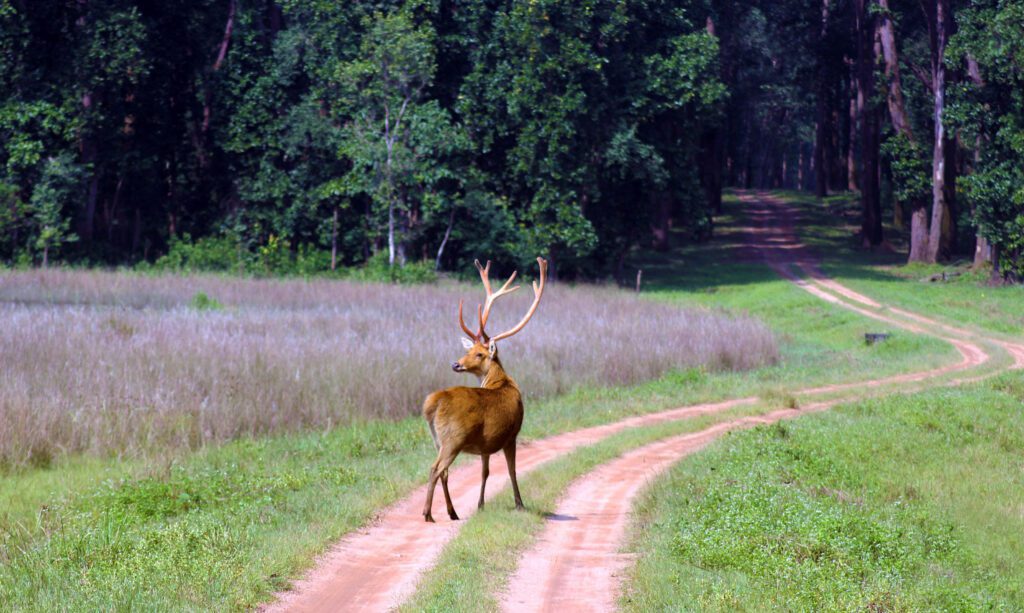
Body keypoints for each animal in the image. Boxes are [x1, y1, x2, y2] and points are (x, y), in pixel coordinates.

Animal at [419, 256, 548, 519]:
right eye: (470, 351)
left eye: (478, 353)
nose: (455, 363)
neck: (502, 381)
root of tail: (433, 402)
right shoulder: (512, 434)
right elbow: (511, 470)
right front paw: (519, 503)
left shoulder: (486, 443)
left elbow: (485, 472)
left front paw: (480, 505)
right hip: (453, 438)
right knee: (436, 468)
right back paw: (428, 513)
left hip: (437, 439)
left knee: (443, 471)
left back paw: (452, 512)